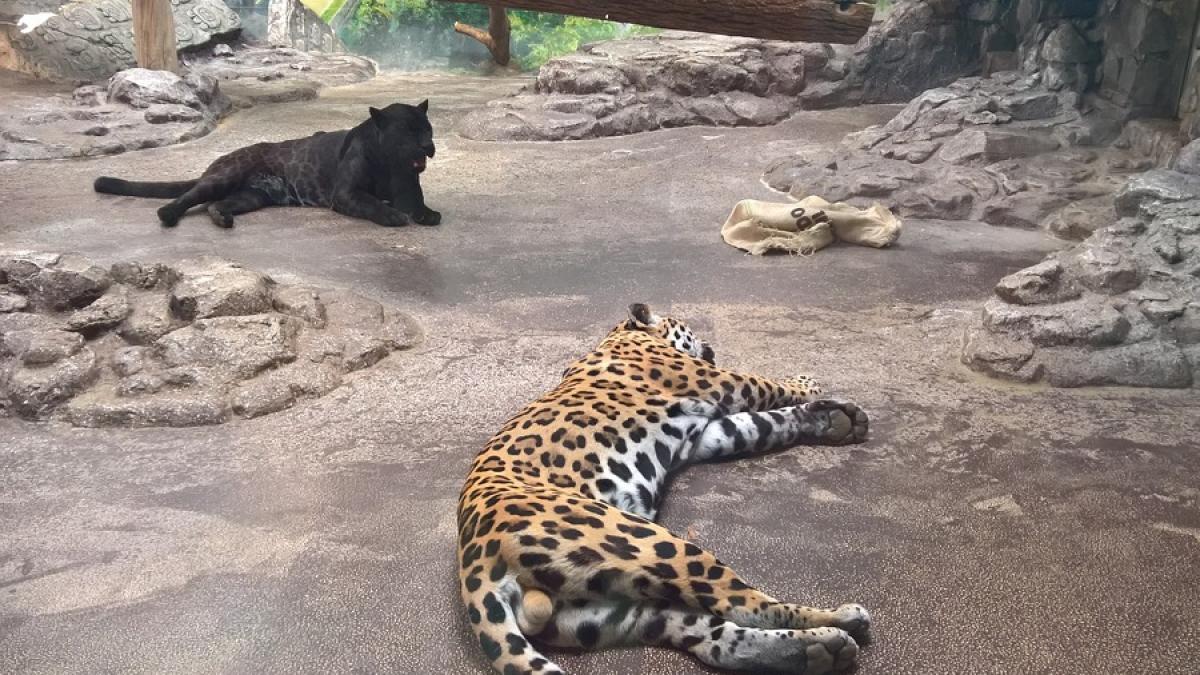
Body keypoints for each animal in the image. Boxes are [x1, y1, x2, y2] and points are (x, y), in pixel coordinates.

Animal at [93, 100, 440, 229]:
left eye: (427, 128)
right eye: (409, 131)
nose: (428, 147)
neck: (389, 164)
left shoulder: (408, 186)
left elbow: (417, 201)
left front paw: (426, 214)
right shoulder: (347, 193)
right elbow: (372, 203)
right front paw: (394, 216)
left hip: (253, 196)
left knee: (214, 205)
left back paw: (223, 219)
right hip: (225, 176)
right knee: (191, 196)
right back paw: (168, 214)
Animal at [457, 303, 872, 675]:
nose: (707, 341)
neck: (623, 333)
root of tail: (476, 558)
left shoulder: (710, 433)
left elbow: (763, 425)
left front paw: (835, 420)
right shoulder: (720, 381)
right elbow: (767, 384)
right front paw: (809, 386)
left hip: (609, 613)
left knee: (714, 638)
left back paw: (820, 649)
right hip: (651, 543)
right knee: (744, 604)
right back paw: (840, 619)